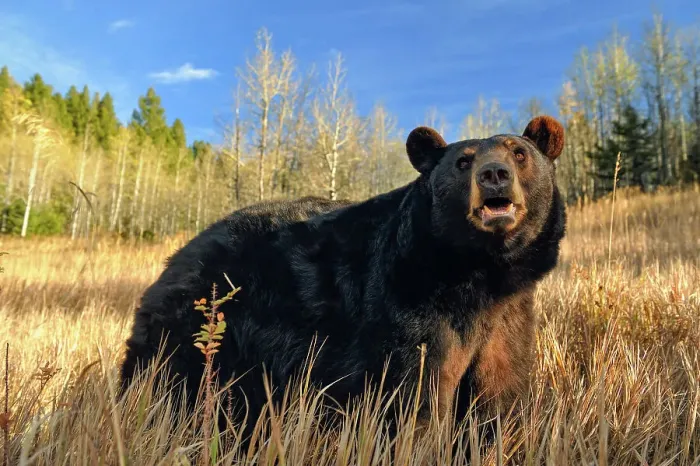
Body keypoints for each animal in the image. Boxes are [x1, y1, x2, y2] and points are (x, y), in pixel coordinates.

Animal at [120, 115, 566, 444]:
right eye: (463, 161)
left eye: (519, 152)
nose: (494, 174)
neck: (480, 276)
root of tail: (172, 261)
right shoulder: (408, 305)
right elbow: (414, 393)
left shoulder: (508, 317)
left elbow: (498, 392)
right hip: (197, 328)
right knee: (166, 384)